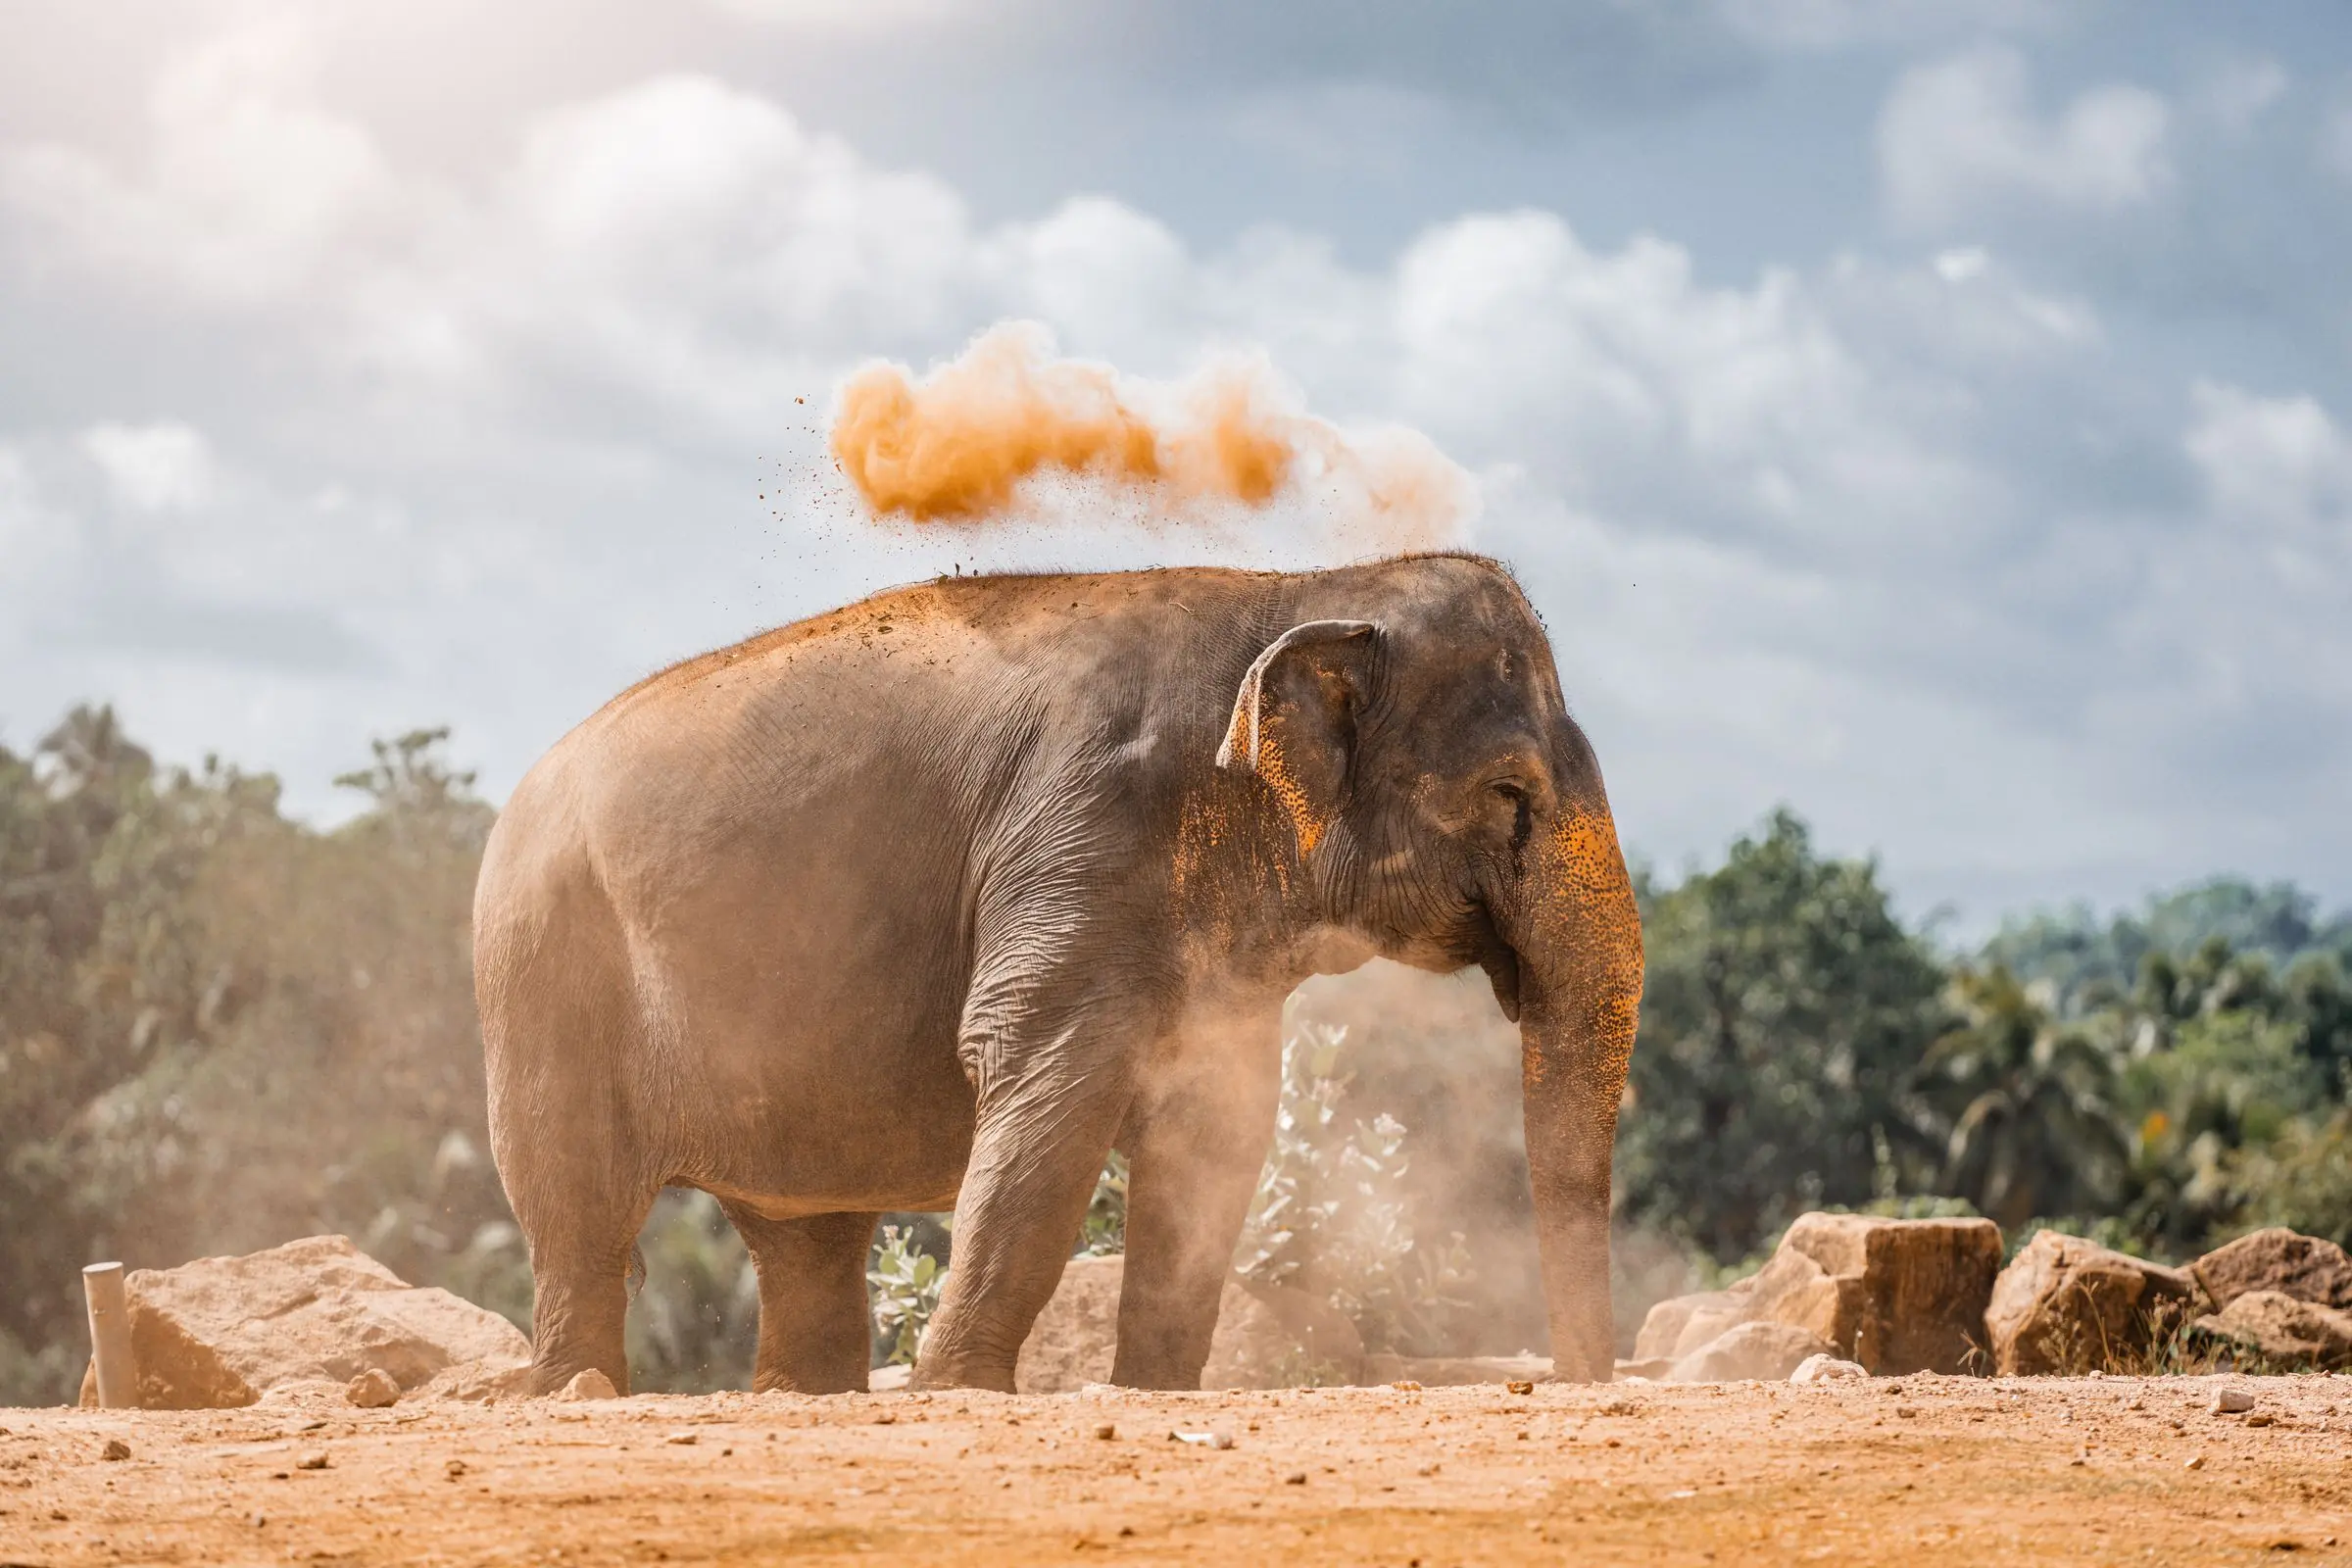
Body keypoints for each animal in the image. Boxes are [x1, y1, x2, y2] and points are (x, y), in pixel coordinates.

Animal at [473, 551, 1643, 1395]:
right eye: (1510, 792)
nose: (1571, 1384)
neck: (1297, 587)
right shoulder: (1080, 833)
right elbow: (1044, 1080)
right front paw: (957, 1393)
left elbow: (1216, 1125)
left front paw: (1153, 1394)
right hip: (543, 963)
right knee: (575, 1200)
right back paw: (567, 1390)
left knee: (806, 1234)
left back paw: (801, 1399)